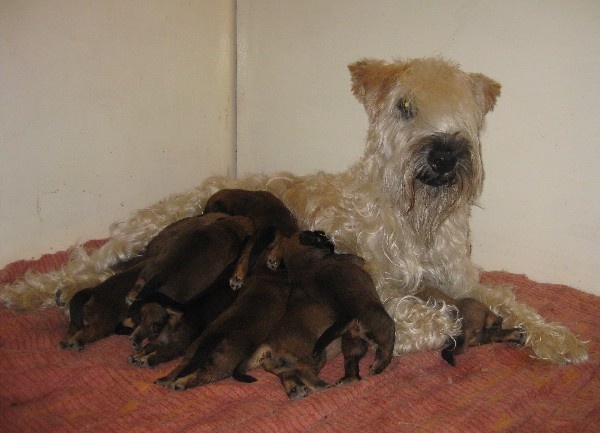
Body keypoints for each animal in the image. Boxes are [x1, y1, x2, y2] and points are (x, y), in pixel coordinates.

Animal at [155, 253, 290, 392]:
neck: (267, 274)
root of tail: (215, 336)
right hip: (222, 365)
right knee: (201, 376)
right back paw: (179, 384)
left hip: (191, 353)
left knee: (180, 370)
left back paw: (165, 380)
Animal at [282, 231, 398, 384]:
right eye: (317, 236)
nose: (324, 234)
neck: (303, 265)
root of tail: (347, 316)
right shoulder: (354, 259)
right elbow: (359, 259)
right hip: (382, 327)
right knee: (386, 347)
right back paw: (378, 366)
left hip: (352, 343)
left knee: (351, 362)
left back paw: (348, 378)